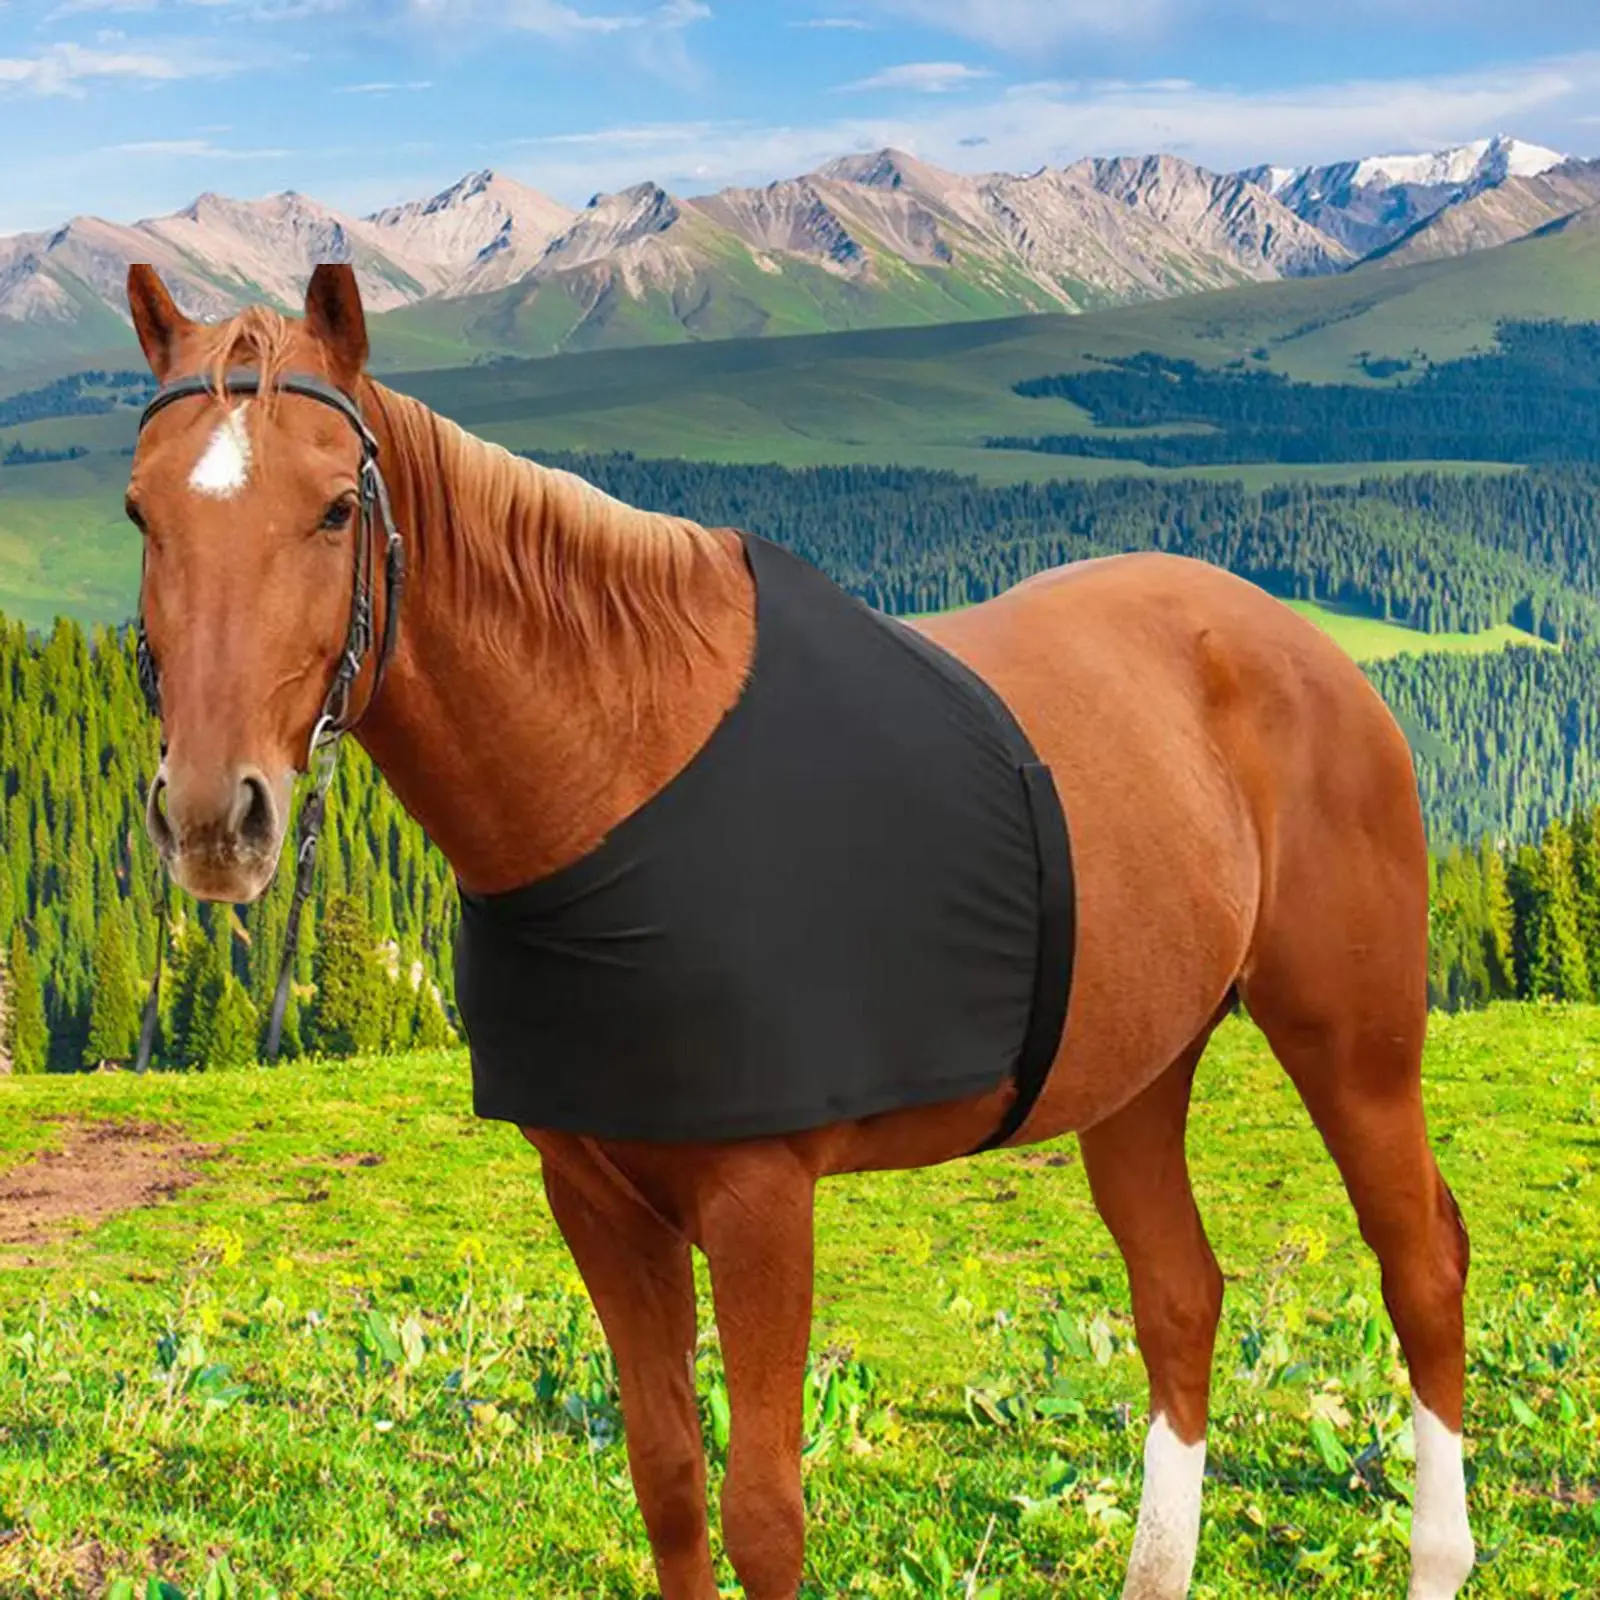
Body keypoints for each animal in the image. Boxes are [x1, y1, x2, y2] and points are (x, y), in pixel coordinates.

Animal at [121, 262, 1474, 1600]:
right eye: (141, 514)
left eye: (335, 510)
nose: (212, 815)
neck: (618, 766)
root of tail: (1304, 648)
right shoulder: (594, 1201)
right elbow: (668, 1482)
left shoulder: (762, 1201)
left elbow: (763, 1514)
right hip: (1136, 1069)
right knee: (1180, 1294)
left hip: (1351, 1047)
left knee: (1421, 1264)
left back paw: (1436, 1553)